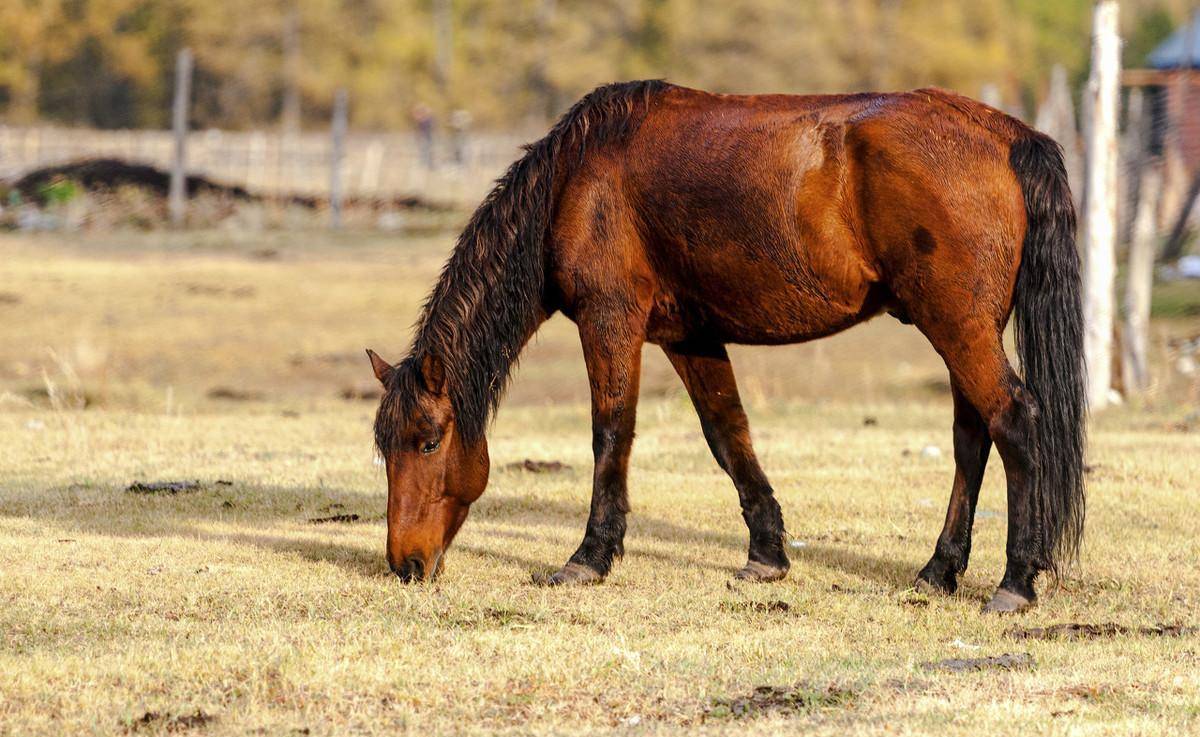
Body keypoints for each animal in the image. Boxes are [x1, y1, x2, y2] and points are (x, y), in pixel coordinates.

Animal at [367, 78, 1089, 614]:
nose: (405, 564)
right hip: (962, 330)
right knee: (972, 437)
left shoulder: (610, 320)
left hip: (958, 327)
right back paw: (939, 569)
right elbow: (728, 434)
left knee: (1014, 421)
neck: (578, 178)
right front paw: (766, 555)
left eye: (428, 441)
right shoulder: (692, 336)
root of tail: (1006, 134)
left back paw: (1015, 582)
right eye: (384, 447)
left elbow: (611, 434)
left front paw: (589, 557)